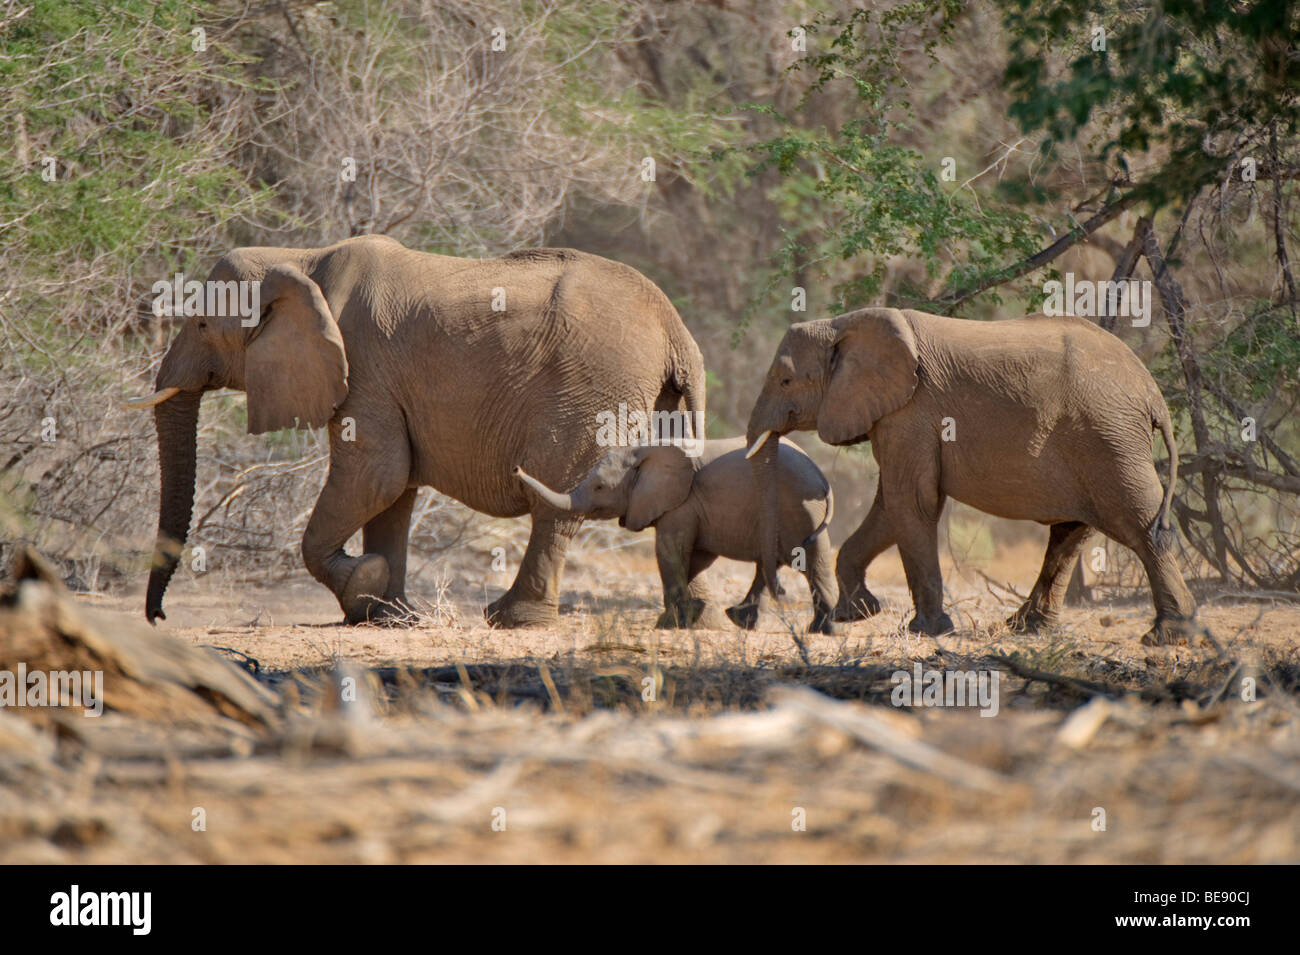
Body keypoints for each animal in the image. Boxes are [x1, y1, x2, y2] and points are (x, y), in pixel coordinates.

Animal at [126, 236, 707, 631]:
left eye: (202, 325)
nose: (157, 618)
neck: (300, 257)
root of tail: (675, 329)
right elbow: (393, 490)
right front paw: (389, 614)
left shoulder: (364, 368)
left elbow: (377, 474)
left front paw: (364, 588)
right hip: (656, 396)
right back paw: (691, 620)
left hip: (590, 391)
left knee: (555, 503)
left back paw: (509, 619)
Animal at [512, 439, 837, 634]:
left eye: (600, 487)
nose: (516, 468)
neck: (643, 451)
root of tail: (822, 477)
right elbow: (696, 558)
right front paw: (688, 614)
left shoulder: (682, 503)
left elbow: (670, 552)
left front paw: (669, 625)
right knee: (779, 562)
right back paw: (746, 620)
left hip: (799, 508)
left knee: (809, 561)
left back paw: (820, 629)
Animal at [743, 306, 1196, 649]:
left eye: (785, 380)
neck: (842, 324)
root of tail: (1153, 394)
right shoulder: (897, 417)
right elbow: (892, 506)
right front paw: (857, 614)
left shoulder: (911, 412)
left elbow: (912, 501)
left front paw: (926, 631)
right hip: (1100, 440)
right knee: (1071, 532)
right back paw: (1025, 629)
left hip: (1109, 439)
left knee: (1140, 528)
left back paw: (1167, 636)